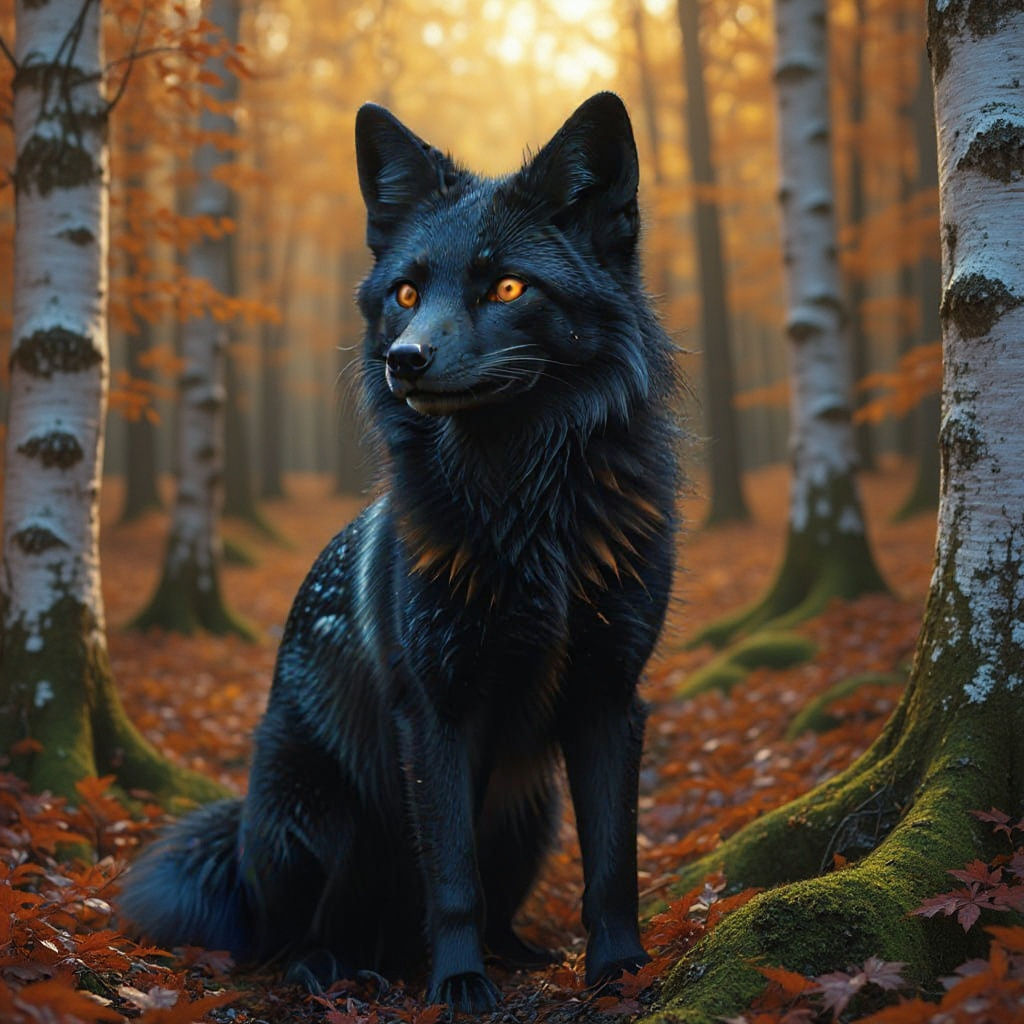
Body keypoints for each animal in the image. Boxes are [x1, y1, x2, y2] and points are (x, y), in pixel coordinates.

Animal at [120, 92, 680, 1013]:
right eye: (407, 291)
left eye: (508, 285)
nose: (404, 358)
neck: (526, 512)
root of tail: (241, 836)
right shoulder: (438, 711)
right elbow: (450, 878)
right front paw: (457, 987)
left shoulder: (610, 697)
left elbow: (612, 864)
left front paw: (620, 973)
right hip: (334, 821)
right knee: (304, 936)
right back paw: (341, 971)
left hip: (529, 810)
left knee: (485, 900)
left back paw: (513, 954)